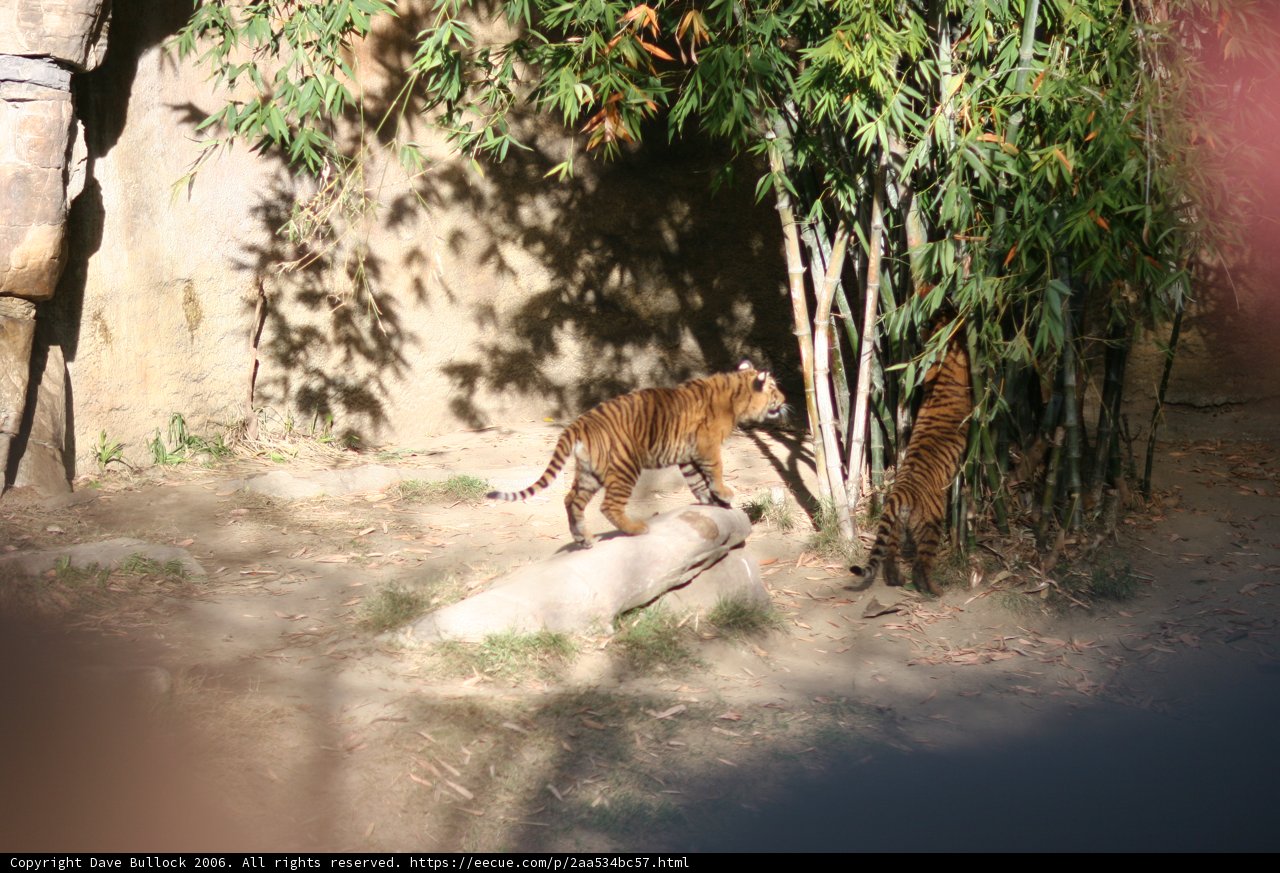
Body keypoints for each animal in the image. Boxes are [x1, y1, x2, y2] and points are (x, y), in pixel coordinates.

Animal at [487, 361, 787, 547]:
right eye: (774, 388)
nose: (785, 400)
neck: (736, 393)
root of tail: (579, 423)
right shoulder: (707, 445)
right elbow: (716, 470)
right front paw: (724, 494)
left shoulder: (687, 455)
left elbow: (697, 481)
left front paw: (712, 501)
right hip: (625, 466)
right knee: (608, 505)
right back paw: (636, 529)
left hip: (589, 473)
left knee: (572, 500)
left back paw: (584, 539)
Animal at [850, 321, 971, 597]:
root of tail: (900, 492)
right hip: (931, 525)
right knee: (921, 565)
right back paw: (934, 589)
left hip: (895, 527)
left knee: (889, 556)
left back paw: (896, 579)